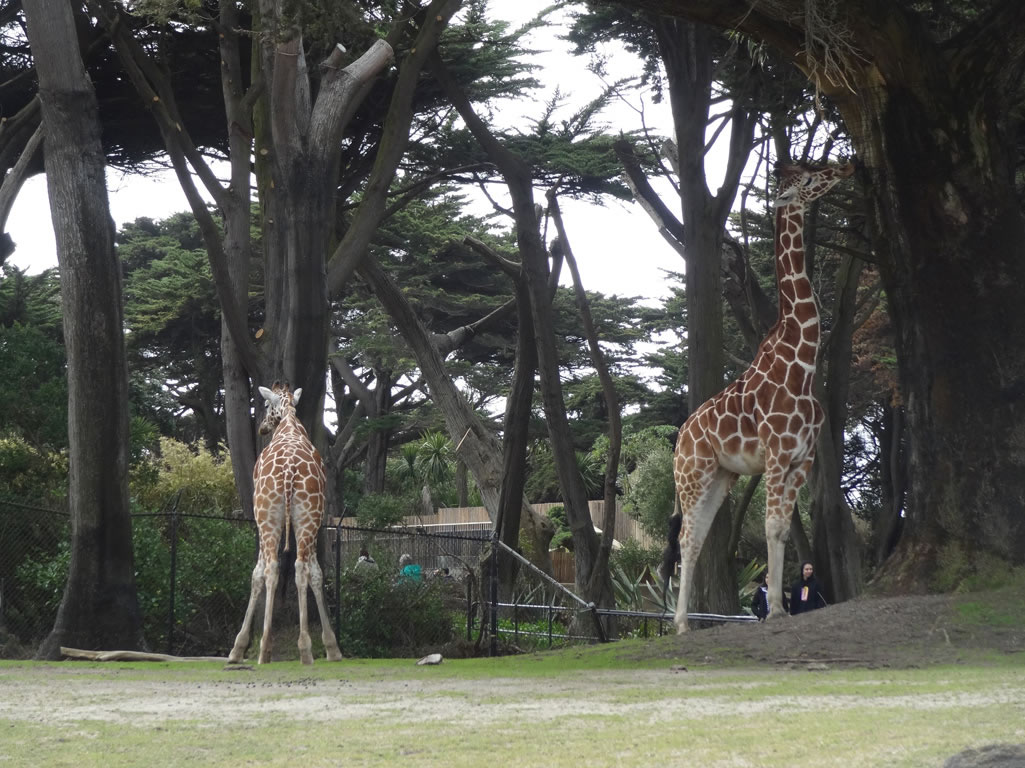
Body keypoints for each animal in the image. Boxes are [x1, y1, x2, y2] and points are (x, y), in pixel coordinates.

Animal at [228, 381, 343, 664]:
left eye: (265, 404)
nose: (261, 427)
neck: (289, 421)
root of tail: (290, 471)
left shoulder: (261, 519)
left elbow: (257, 573)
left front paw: (237, 649)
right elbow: (316, 572)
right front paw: (332, 648)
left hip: (267, 516)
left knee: (271, 567)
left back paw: (265, 649)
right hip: (309, 516)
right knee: (303, 567)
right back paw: (307, 649)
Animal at [670, 160, 854, 633]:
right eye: (808, 180)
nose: (845, 166)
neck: (803, 363)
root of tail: (678, 440)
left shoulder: (803, 458)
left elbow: (784, 528)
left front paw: (781, 604)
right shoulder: (775, 454)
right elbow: (771, 526)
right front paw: (774, 608)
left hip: (721, 477)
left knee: (697, 538)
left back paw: (686, 621)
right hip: (692, 475)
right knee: (686, 537)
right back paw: (680, 623)